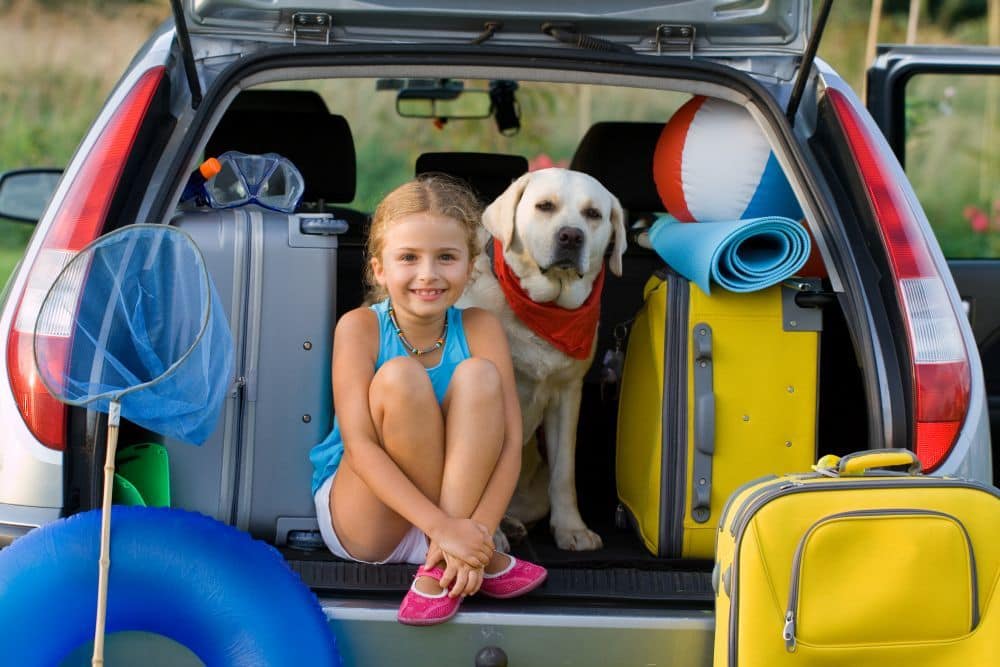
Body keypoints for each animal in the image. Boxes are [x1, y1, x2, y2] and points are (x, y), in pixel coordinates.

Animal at [460, 168, 624, 552]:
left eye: (593, 214)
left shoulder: (567, 394)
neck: (543, 309)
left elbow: (564, 473)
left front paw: (571, 529)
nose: (571, 236)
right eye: (545, 206)